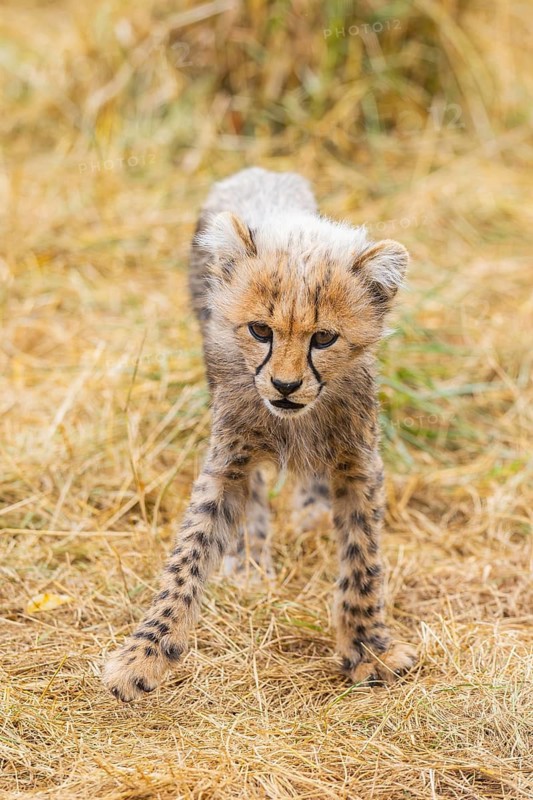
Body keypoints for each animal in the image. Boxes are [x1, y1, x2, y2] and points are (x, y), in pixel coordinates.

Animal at [103, 167, 417, 701]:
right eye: (260, 331)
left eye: (324, 337)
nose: (286, 386)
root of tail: (259, 172)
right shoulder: (228, 459)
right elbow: (189, 556)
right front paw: (145, 653)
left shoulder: (360, 462)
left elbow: (363, 559)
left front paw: (368, 648)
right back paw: (249, 559)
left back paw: (311, 509)